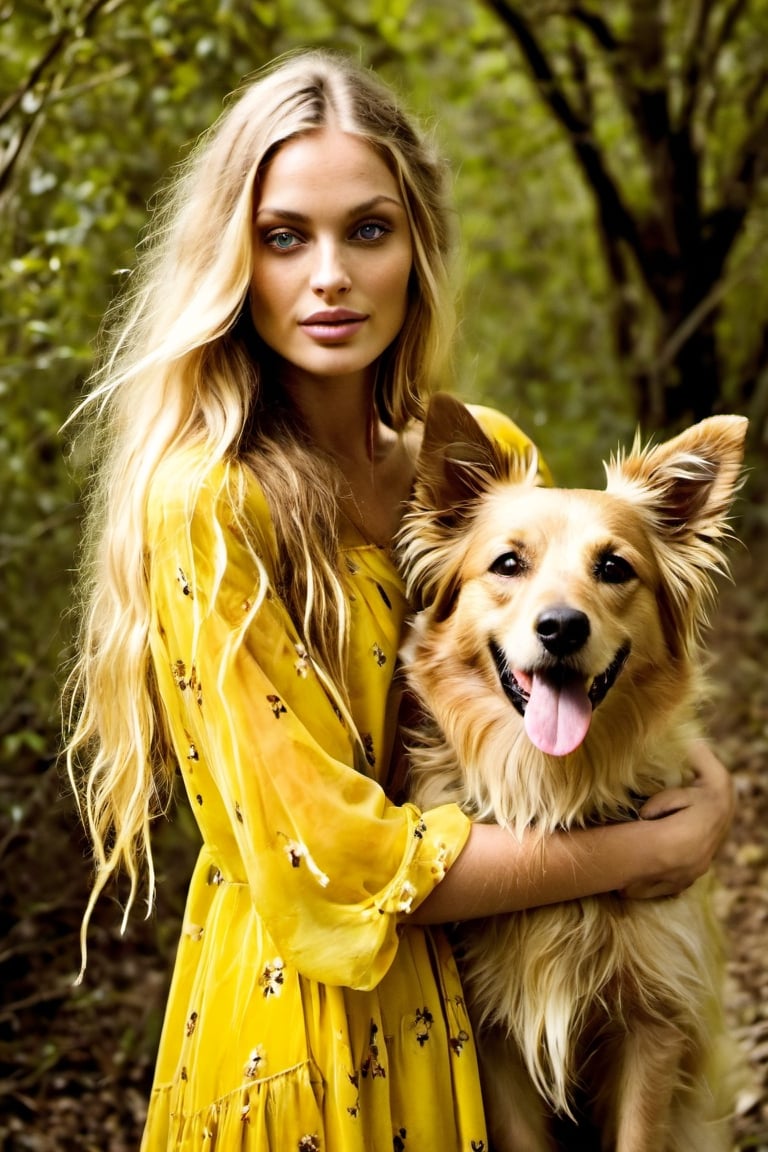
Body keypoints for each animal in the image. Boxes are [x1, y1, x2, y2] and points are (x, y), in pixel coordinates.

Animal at [400, 393, 746, 1152]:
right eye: (508, 563)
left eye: (614, 567)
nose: (561, 627)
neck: (557, 792)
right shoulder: (497, 1034)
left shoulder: (653, 1023)